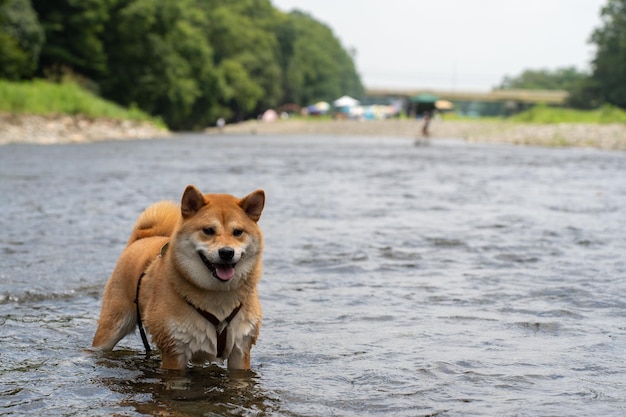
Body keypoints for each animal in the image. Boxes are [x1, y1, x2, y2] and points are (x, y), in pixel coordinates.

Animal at [91, 184, 264, 368]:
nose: (226, 252)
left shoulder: (240, 350)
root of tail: (143, 237)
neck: (218, 296)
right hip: (111, 328)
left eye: (238, 232)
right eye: (208, 231)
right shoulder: (175, 352)